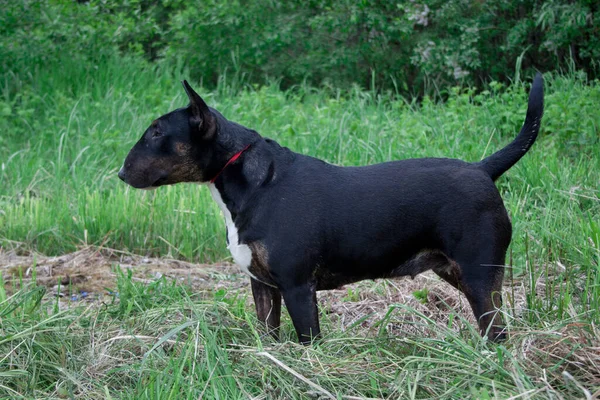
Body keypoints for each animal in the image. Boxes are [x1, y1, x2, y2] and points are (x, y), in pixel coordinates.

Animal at [118, 75, 544, 344]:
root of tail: (482, 169)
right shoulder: (263, 286)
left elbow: (309, 340)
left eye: (157, 132)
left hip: (478, 274)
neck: (252, 183)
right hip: (460, 273)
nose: (120, 172)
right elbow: (268, 335)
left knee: (497, 331)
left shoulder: (298, 288)